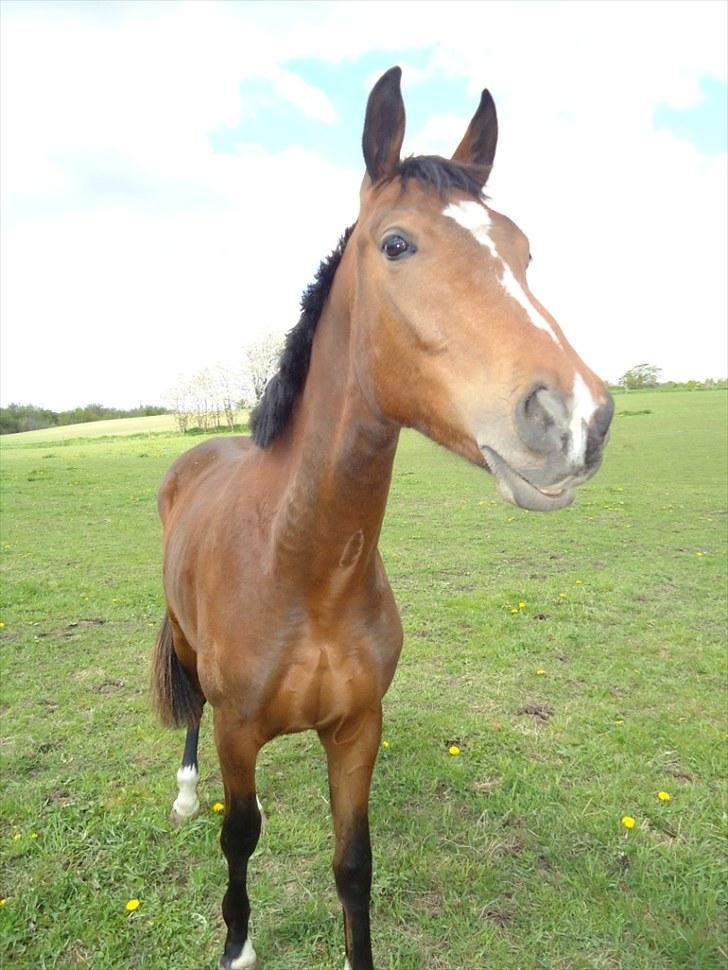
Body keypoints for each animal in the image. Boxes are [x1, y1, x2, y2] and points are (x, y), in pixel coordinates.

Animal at [152, 66, 616, 968]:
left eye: (524, 250)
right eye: (397, 244)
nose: (577, 419)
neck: (302, 563)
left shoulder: (359, 730)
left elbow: (352, 867)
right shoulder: (237, 733)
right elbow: (239, 837)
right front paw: (237, 943)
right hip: (187, 649)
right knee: (187, 713)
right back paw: (187, 794)